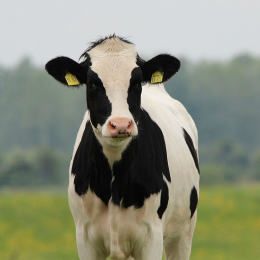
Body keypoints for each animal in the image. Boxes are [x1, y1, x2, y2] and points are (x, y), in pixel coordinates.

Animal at [45, 35, 199, 260]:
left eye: (136, 82)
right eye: (93, 83)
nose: (120, 124)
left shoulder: (151, 237)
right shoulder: (85, 238)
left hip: (183, 234)